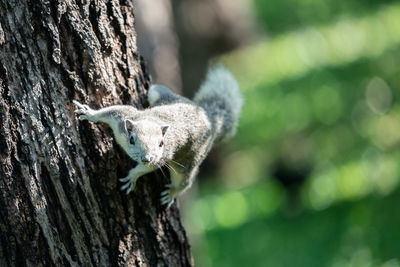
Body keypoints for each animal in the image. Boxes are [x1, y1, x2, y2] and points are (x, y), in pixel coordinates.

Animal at [74, 66, 244, 208]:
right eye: (132, 139)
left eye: (161, 144)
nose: (146, 158)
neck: (152, 121)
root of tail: (209, 119)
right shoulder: (123, 118)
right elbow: (109, 111)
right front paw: (90, 114)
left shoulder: (162, 156)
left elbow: (148, 168)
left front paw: (132, 177)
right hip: (159, 94)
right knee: (156, 89)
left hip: (190, 159)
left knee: (184, 181)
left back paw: (172, 192)